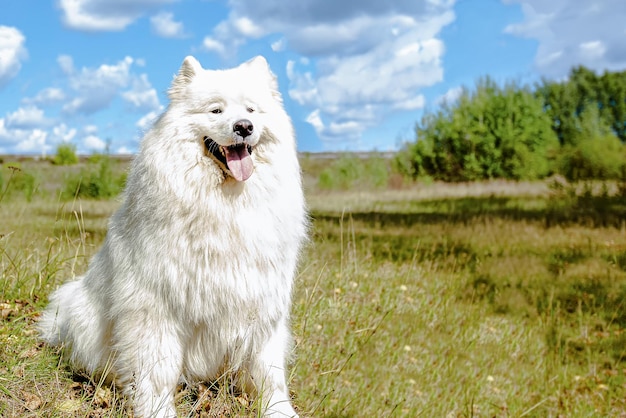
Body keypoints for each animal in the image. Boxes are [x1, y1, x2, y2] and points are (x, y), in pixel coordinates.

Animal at [37, 56, 306, 418]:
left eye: (251, 109)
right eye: (216, 110)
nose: (244, 126)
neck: (226, 204)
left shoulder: (262, 306)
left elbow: (269, 372)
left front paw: (279, 410)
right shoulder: (157, 309)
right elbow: (156, 371)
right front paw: (156, 410)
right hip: (81, 312)